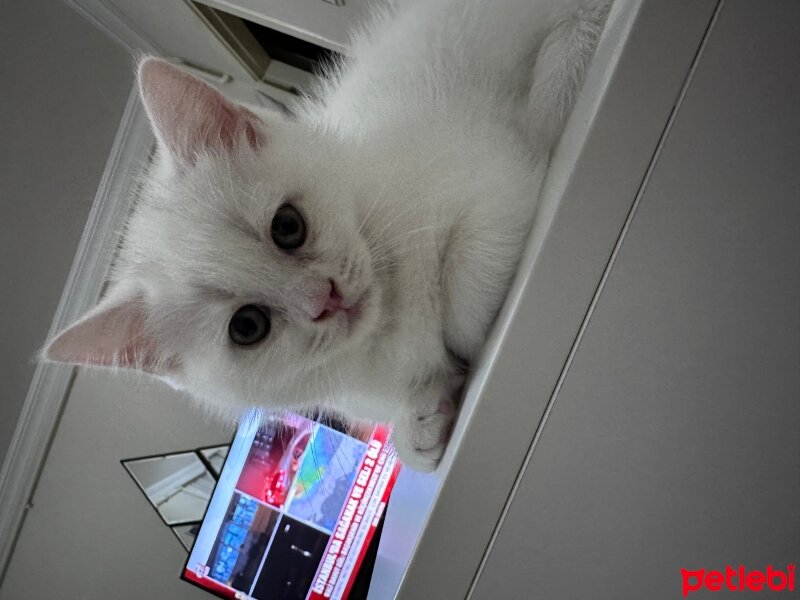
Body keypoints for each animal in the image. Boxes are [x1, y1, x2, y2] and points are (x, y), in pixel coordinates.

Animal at [45, 0, 608, 472]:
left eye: (287, 227)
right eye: (247, 327)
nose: (327, 298)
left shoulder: (497, 175)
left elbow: (469, 298)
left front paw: (457, 347)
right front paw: (417, 424)